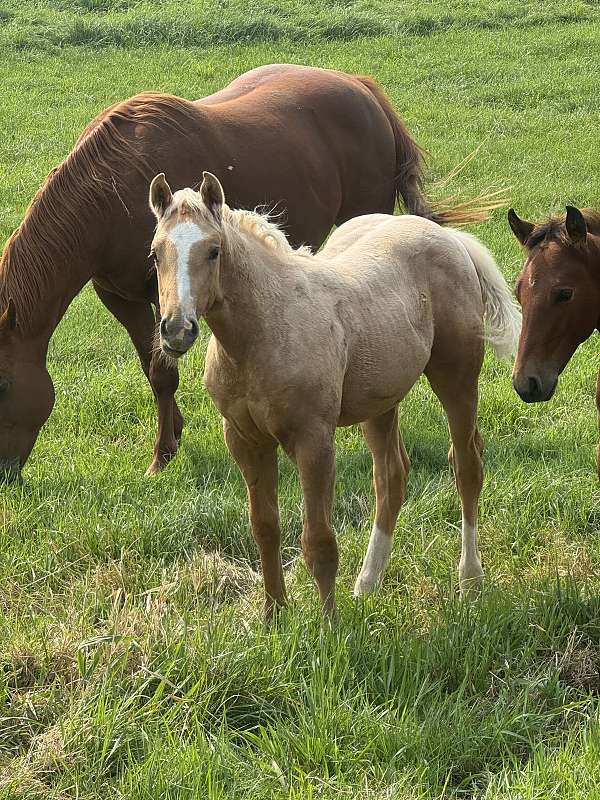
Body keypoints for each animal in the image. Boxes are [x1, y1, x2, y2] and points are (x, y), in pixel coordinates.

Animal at [0, 63, 497, 483]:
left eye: (3, 385)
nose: (4, 476)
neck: (112, 192)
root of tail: (360, 86)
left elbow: (164, 370)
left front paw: (162, 455)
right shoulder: (122, 296)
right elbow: (154, 369)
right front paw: (171, 440)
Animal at [149, 171, 520, 619]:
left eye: (213, 251)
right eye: (155, 253)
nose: (176, 329)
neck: (263, 332)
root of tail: (448, 237)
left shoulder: (314, 440)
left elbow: (319, 540)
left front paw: (330, 627)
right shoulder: (245, 440)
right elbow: (265, 527)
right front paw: (274, 616)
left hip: (457, 378)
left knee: (467, 465)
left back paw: (469, 580)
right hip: (381, 401)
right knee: (391, 477)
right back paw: (367, 583)